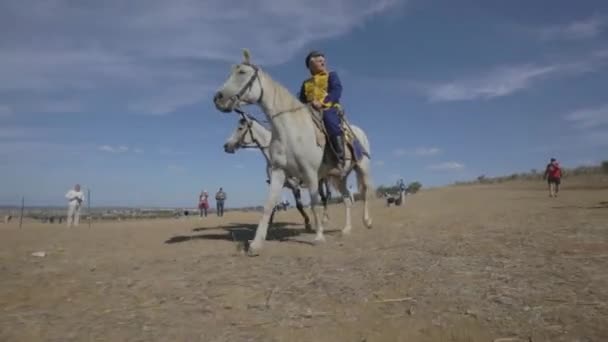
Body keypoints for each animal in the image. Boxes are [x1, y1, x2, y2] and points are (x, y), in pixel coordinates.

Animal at [214, 49, 376, 255]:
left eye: (242, 72)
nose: (218, 98)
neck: (290, 131)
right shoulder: (279, 173)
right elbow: (269, 205)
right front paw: (256, 243)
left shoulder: (309, 174)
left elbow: (313, 202)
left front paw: (318, 235)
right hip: (339, 177)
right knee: (347, 198)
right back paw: (346, 230)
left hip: (362, 168)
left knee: (364, 192)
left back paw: (367, 221)